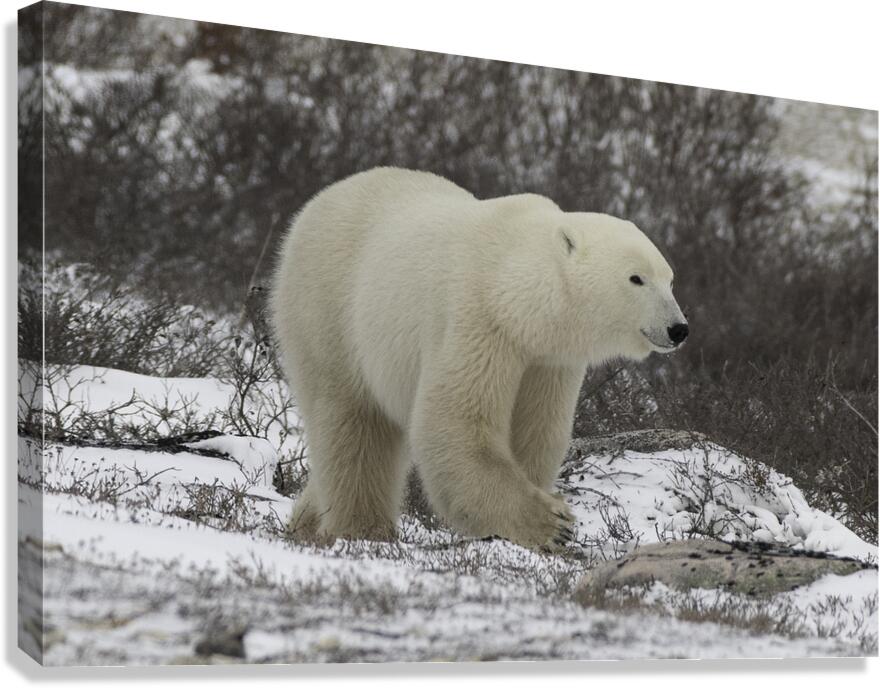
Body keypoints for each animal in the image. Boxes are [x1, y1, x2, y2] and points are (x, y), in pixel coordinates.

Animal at [269, 167, 688, 549]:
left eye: (669, 279)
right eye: (636, 278)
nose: (678, 328)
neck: (514, 289)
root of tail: (314, 205)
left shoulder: (548, 358)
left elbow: (536, 431)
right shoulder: (478, 321)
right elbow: (457, 424)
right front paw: (551, 523)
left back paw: (305, 523)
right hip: (331, 310)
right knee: (353, 423)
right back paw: (363, 528)